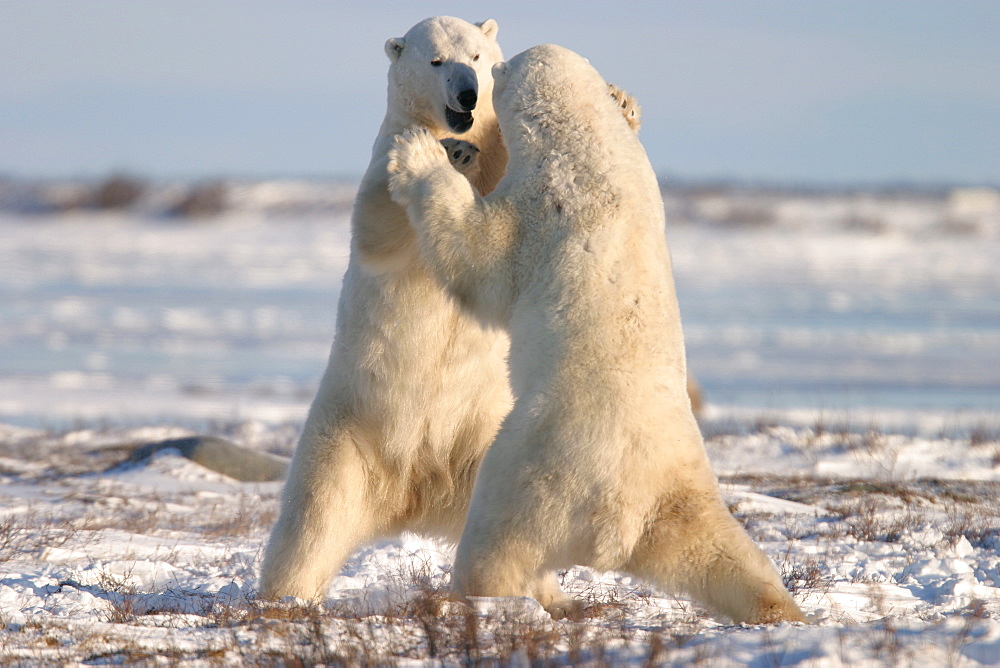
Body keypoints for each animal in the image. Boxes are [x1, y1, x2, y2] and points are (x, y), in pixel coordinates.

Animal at [386, 44, 808, 624]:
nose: (476, 81)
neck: (586, 135)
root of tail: (621, 522)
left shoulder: (545, 203)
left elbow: (480, 257)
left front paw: (419, 154)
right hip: (682, 487)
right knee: (724, 554)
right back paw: (783, 609)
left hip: (537, 459)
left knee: (497, 535)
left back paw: (482, 594)